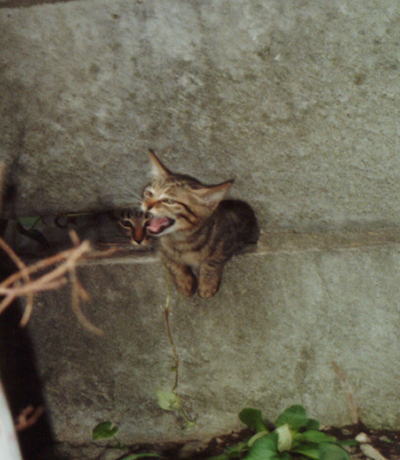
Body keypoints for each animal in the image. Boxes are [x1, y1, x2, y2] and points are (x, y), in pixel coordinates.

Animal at [141, 151, 260, 298]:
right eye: (148, 193)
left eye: (169, 201)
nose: (146, 205)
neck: (180, 240)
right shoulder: (159, 247)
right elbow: (171, 261)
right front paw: (184, 281)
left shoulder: (230, 239)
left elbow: (212, 260)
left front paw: (207, 284)